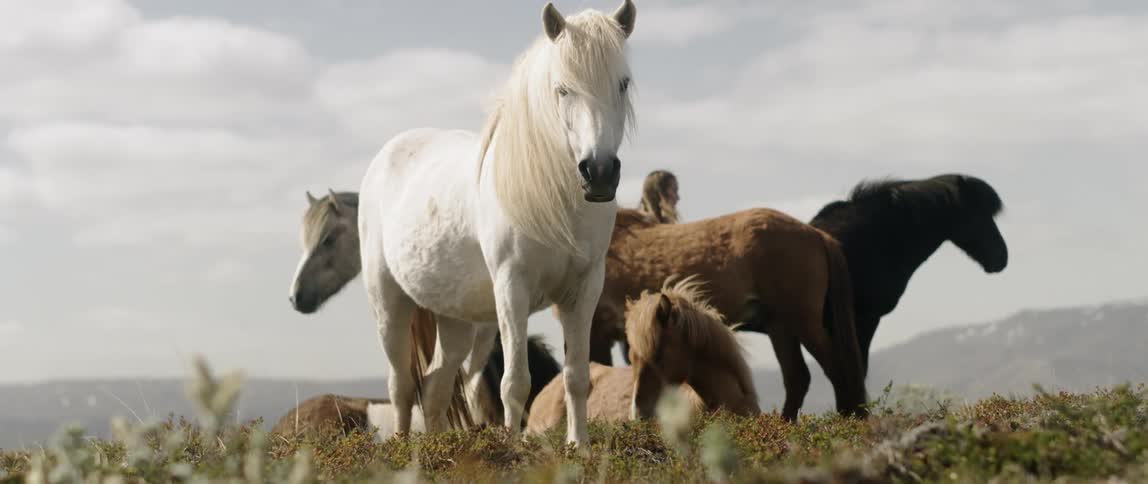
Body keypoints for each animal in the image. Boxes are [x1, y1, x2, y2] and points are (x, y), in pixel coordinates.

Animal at [356, 1, 639, 447]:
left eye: (623, 83)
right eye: (562, 89)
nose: (599, 173)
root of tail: (387, 154)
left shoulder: (584, 289)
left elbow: (577, 377)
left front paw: (579, 446)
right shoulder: (511, 288)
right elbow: (515, 382)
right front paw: (511, 448)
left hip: (454, 319)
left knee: (435, 386)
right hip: (389, 302)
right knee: (401, 385)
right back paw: (400, 446)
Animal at [586, 208, 867, 421]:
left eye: (659, 355)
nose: (638, 415)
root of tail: (817, 235)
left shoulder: (596, 335)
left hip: (803, 322)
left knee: (836, 370)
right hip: (780, 326)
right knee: (798, 377)